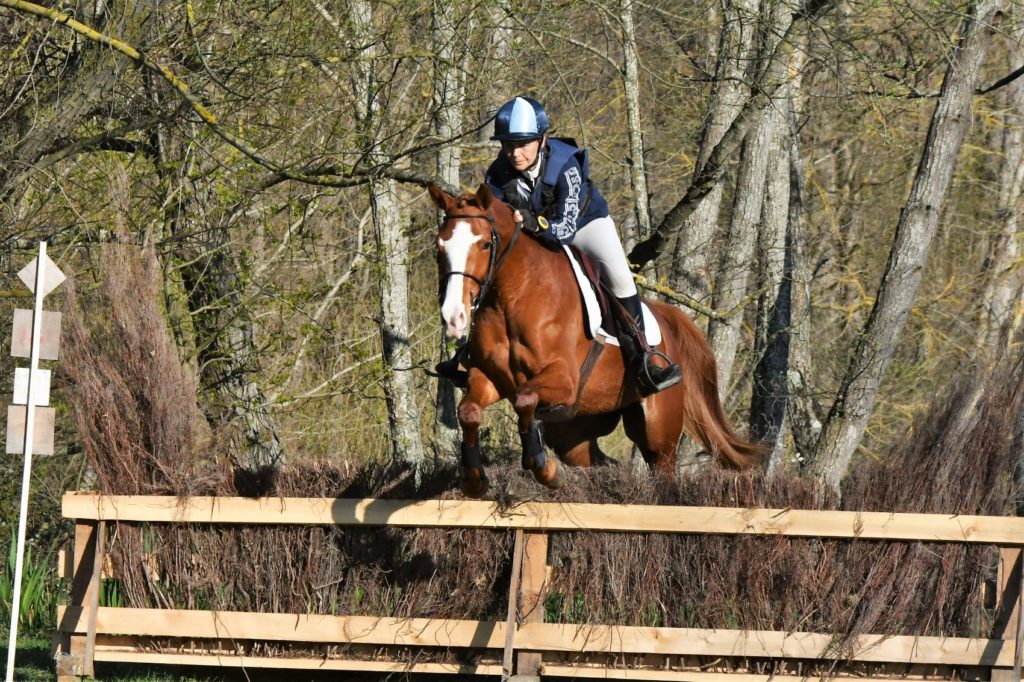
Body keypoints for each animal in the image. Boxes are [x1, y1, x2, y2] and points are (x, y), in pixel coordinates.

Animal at [428, 183, 765, 497]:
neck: (512, 296)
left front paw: (543, 468)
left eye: (485, 244)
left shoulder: (564, 379)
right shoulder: (491, 378)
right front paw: (474, 480)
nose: (454, 316)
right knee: (600, 461)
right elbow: (469, 412)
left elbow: (524, 399)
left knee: (661, 466)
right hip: (574, 432)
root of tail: (667, 319)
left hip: (659, 433)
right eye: (439, 248)